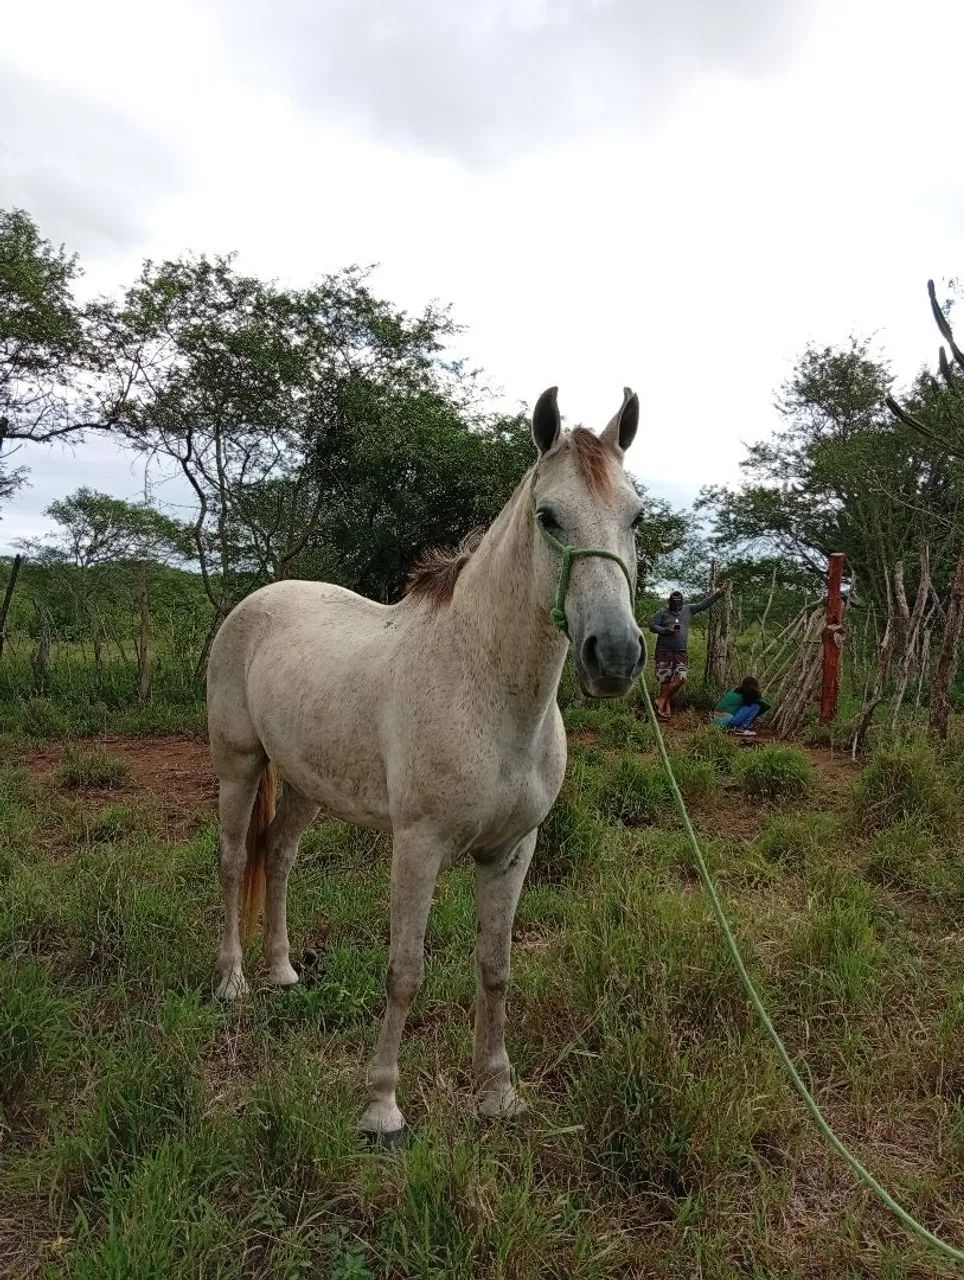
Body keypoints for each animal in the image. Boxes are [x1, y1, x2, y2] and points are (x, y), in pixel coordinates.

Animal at [207, 386, 646, 1138]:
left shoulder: (511, 850)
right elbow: (405, 971)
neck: (486, 688)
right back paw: (234, 981)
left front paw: (498, 1094)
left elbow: (495, 967)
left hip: (305, 783)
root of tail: (259, 600)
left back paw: (283, 973)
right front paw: (382, 1108)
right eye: (549, 517)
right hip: (240, 765)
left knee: (280, 855)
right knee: (238, 860)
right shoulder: (419, 846)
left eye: (636, 516)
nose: (614, 654)